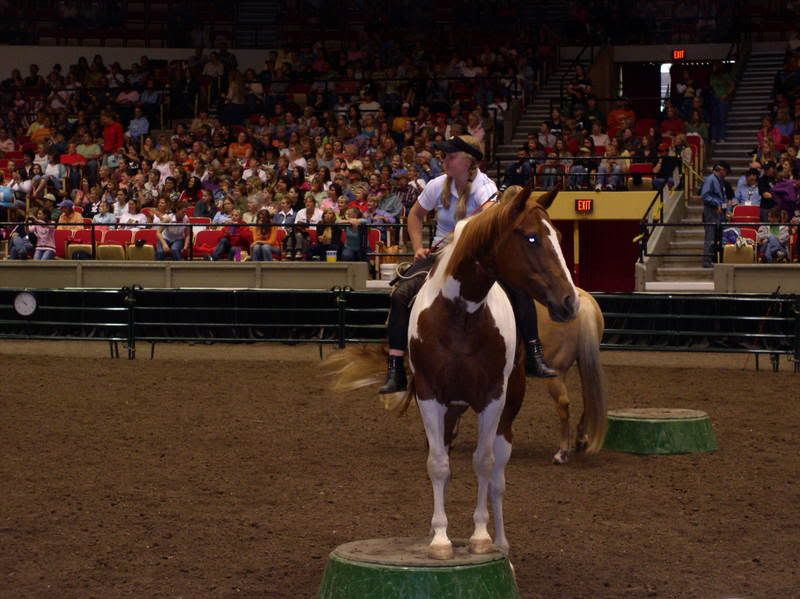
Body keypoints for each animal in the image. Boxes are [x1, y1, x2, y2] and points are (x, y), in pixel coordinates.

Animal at [410, 185, 580, 560]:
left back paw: (500, 541)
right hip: (452, 410)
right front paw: (439, 539)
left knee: (498, 478)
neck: (461, 316)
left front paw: (480, 536)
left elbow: (484, 464)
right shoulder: (429, 396)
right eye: (531, 237)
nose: (570, 302)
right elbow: (438, 464)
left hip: (507, 411)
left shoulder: (491, 398)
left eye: (561, 237)